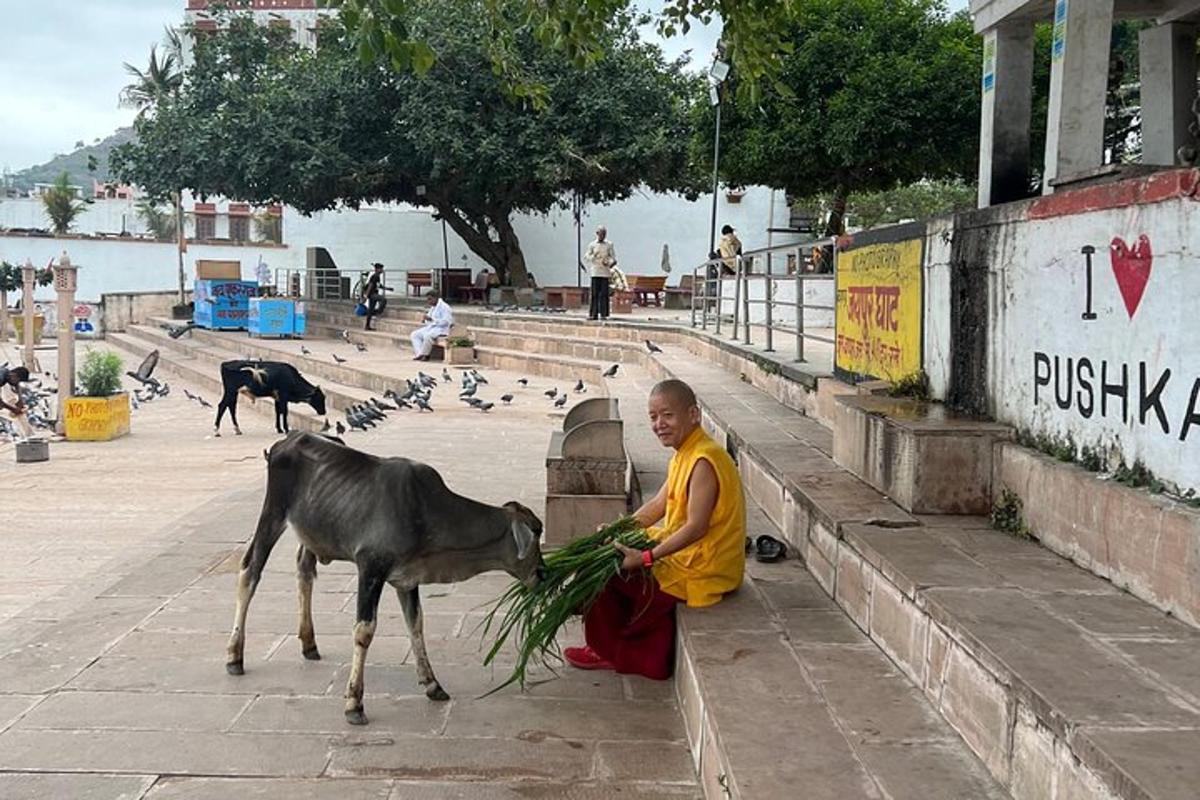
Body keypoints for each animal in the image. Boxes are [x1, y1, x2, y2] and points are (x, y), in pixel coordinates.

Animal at [225, 431, 544, 724]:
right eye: (536, 533)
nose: (542, 575)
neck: (428, 512)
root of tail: (288, 439)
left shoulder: (408, 578)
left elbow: (416, 624)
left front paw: (432, 684)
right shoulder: (370, 568)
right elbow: (364, 631)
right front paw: (354, 703)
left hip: (312, 531)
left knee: (304, 570)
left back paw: (309, 643)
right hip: (273, 513)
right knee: (250, 570)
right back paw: (234, 656)